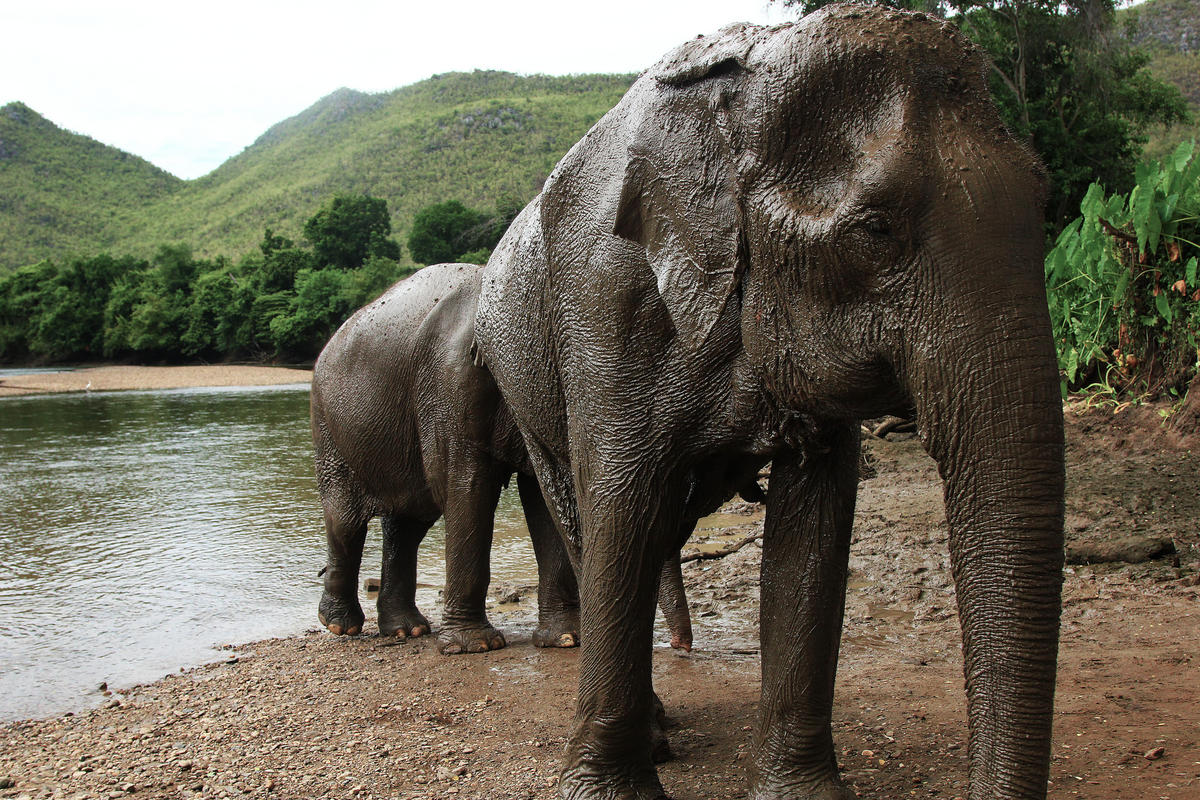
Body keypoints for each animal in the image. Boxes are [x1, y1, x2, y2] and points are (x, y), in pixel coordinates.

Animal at [309, 262, 696, 655]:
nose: (680, 646)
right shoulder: (450, 386)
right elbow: (468, 488)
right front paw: (475, 646)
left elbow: (543, 498)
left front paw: (567, 639)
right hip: (328, 428)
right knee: (346, 521)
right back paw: (341, 625)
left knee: (409, 525)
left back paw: (407, 630)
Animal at [473, 6, 1065, 800]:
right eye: (876, 228)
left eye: (1044, 200)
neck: (750, 72)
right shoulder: (606, 301)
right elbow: (622, 507)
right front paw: (609, 791)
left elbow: (813, 524)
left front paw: (800, 793)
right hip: (520, 372)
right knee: (589, 518)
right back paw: (654, 731)